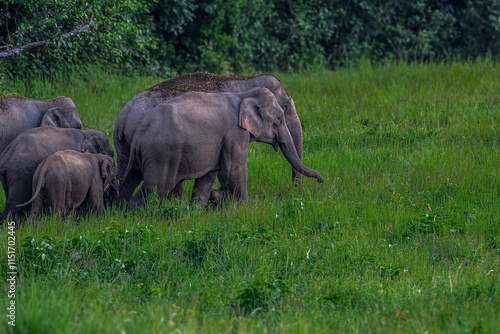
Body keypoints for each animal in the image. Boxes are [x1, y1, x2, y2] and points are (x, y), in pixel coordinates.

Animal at [114, 72, 304, 201]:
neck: (243, 81)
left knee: (125, 173)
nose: (295, 195)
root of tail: (123, 116)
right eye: (285, 108)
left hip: (125, 146)